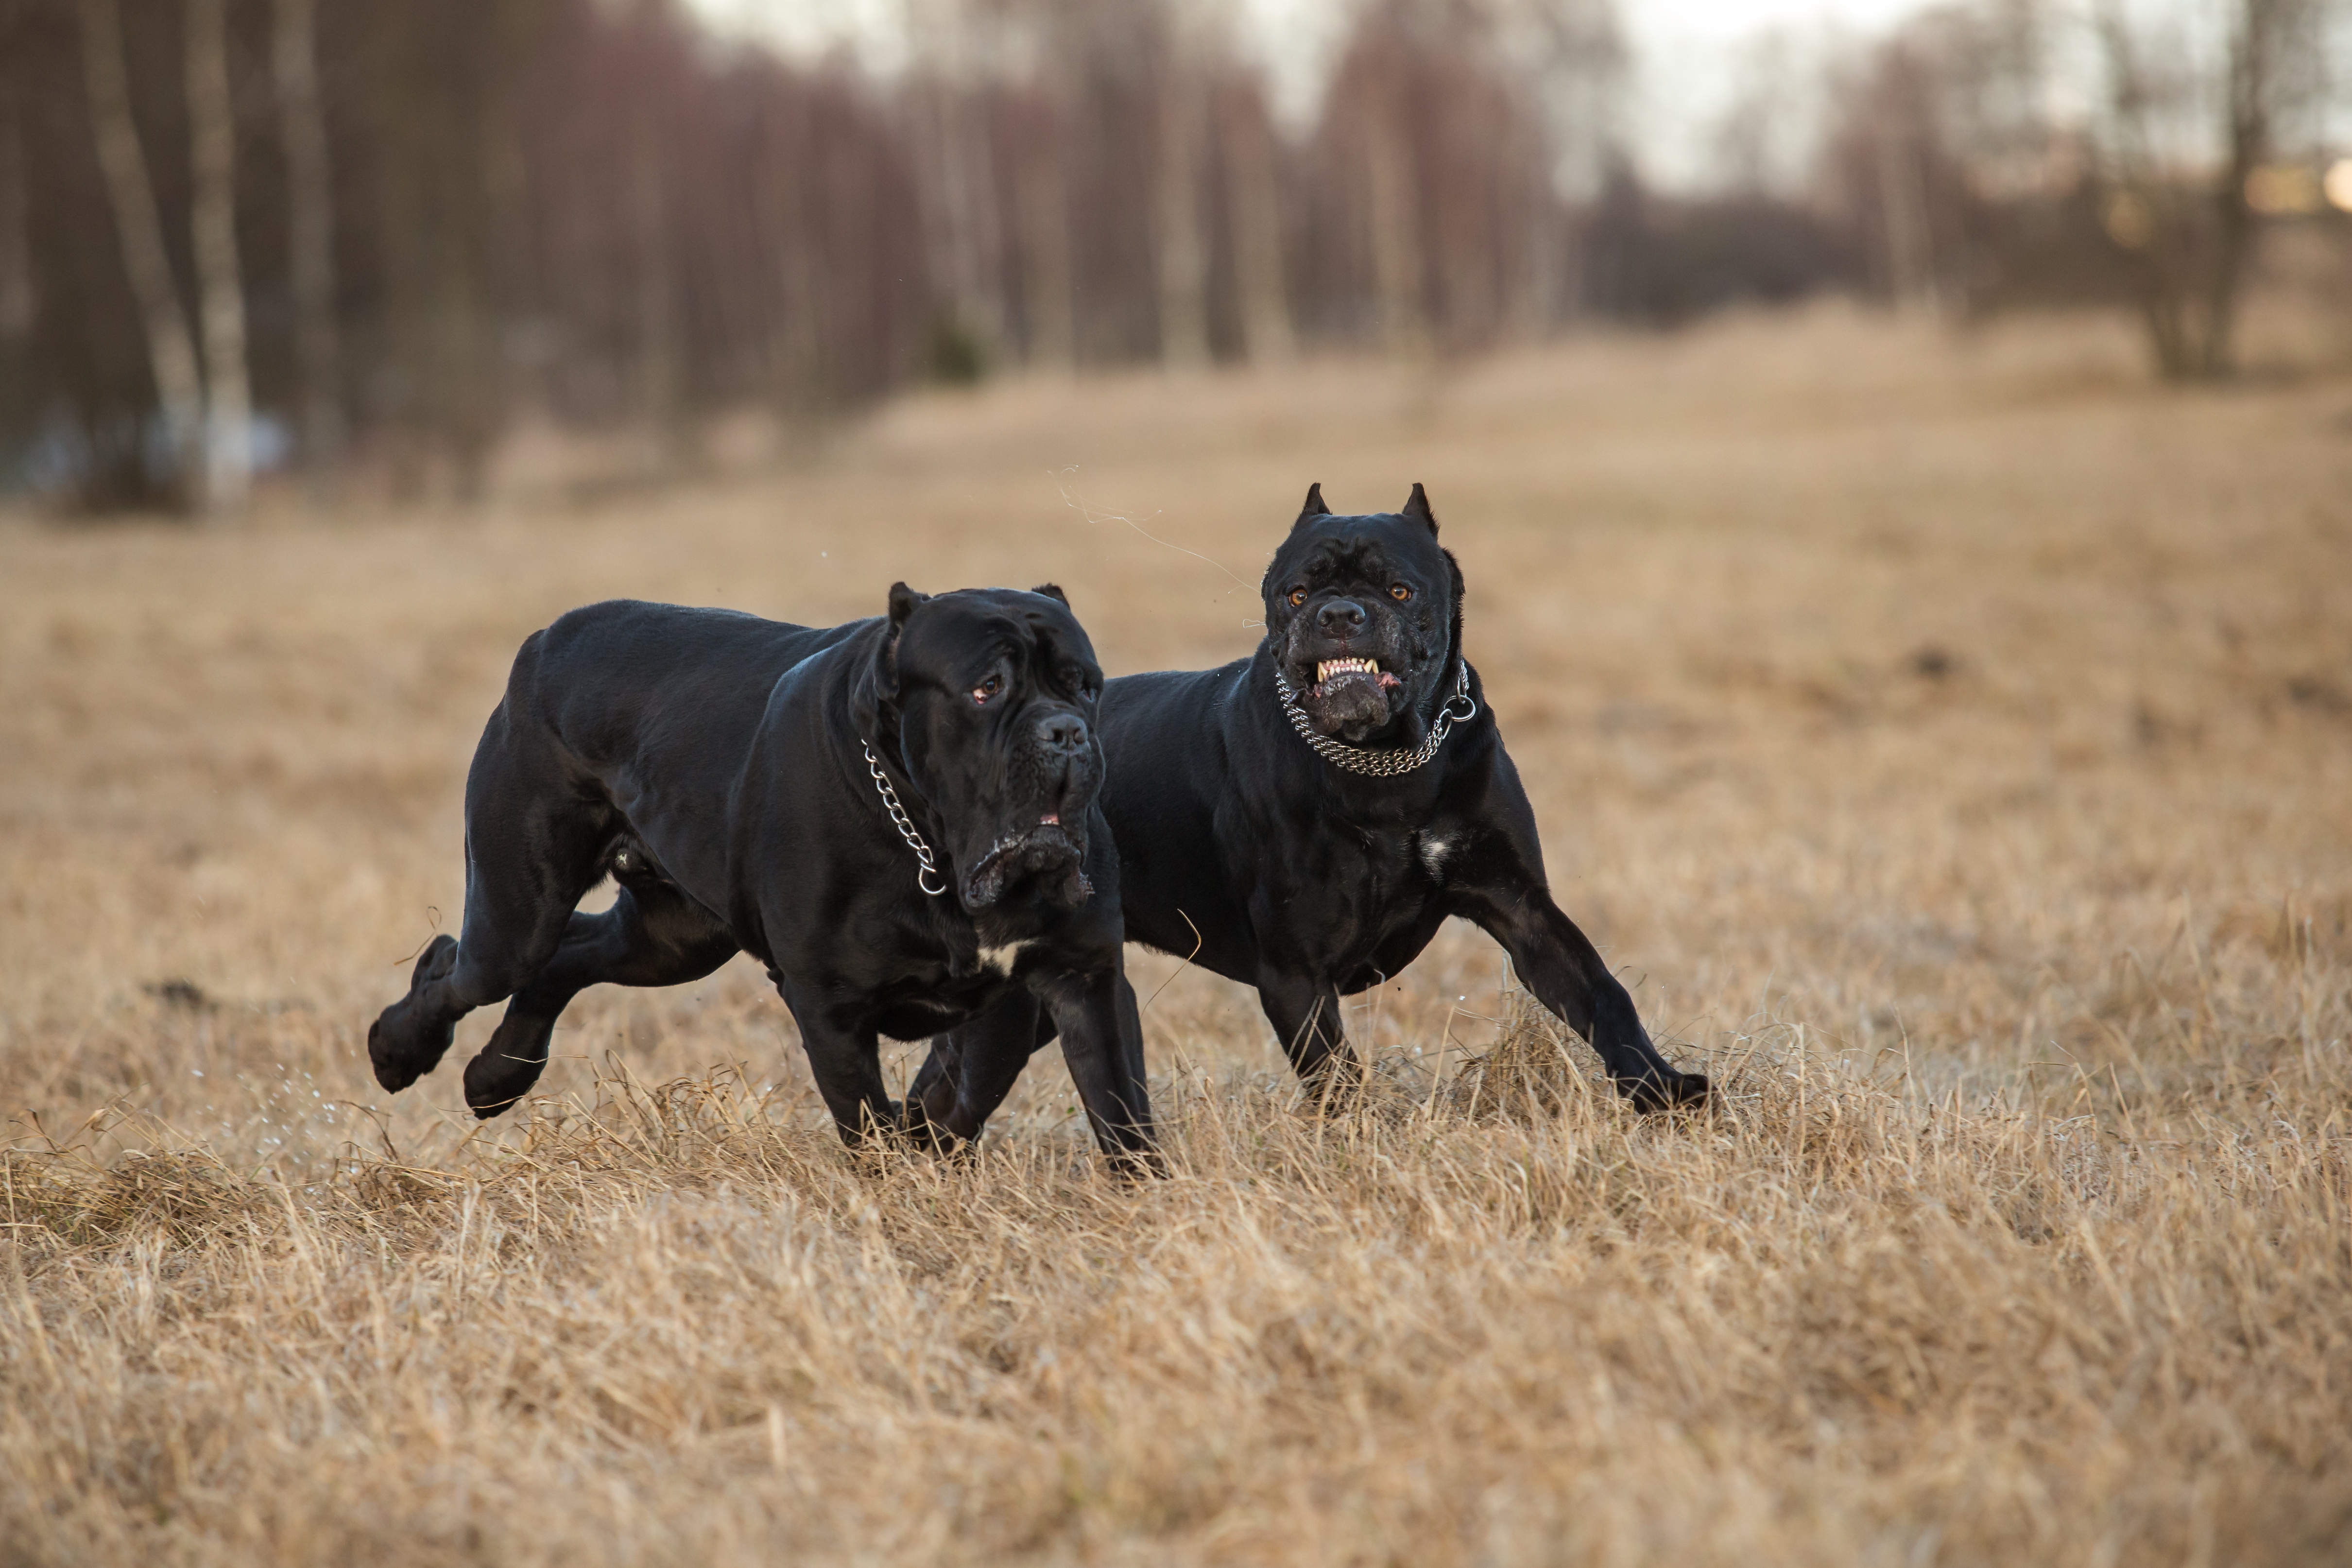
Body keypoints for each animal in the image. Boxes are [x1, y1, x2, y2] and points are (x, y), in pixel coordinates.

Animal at [364, 583, 1157, 1171]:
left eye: (1086, 687)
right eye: (988, 687)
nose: (1066, 730)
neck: (930, 844)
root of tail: (545, 639)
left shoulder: (1081, 975)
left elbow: (1112, 1105)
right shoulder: (829, 1004)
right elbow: (867, 1123)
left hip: (673, 938)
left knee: (568, 958)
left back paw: (496, 1076)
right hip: (518, 911)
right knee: (461, 962)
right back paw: (399, 1049)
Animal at [903, 484, 1712, 1133]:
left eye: (1398, 590)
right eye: (1295, 593)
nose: (1340, 613)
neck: (1385, 763)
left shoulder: (1522, 908)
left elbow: (1602, 994)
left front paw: (1663, 1089)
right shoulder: (1295, 969)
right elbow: (1337, 1076)